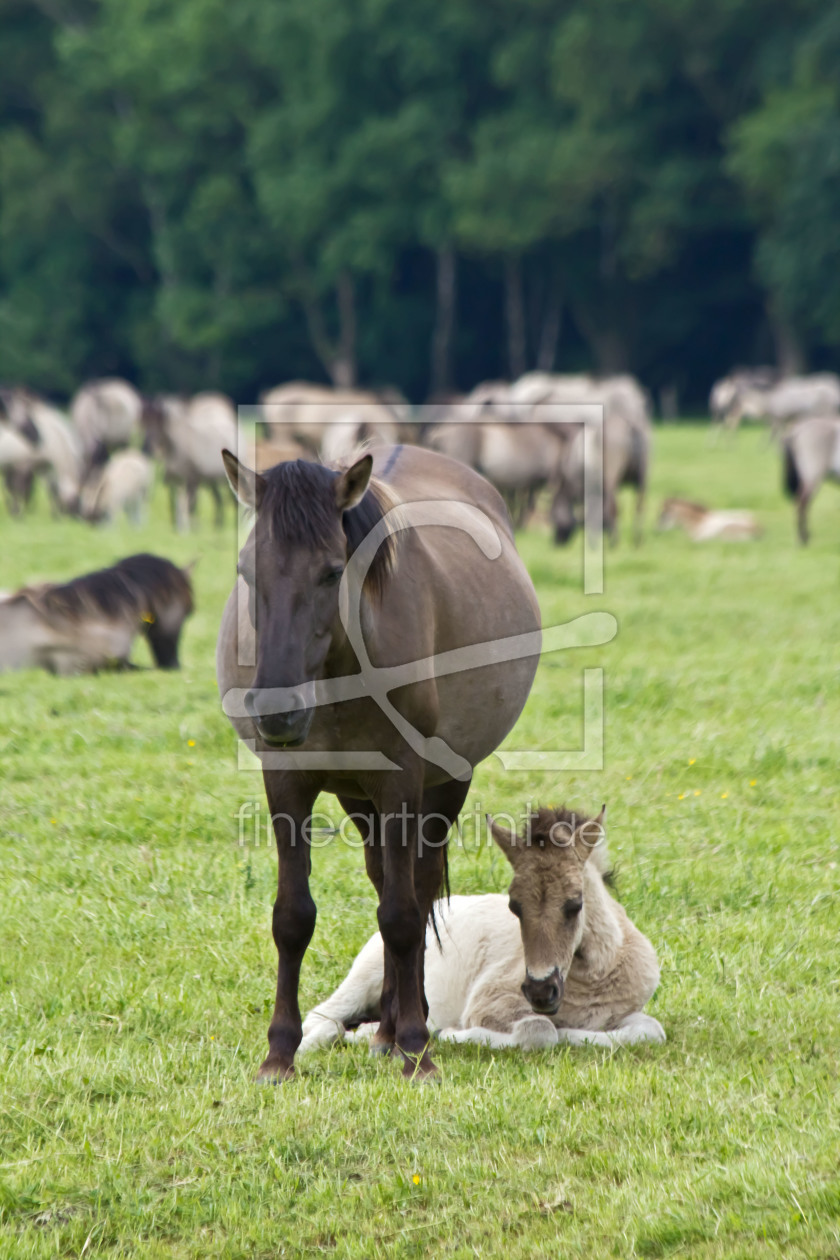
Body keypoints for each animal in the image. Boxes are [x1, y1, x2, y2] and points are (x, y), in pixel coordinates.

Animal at [216, 448, 541, 1078]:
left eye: (331, 571)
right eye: (247, 570)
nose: (276, 712)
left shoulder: (403, 781)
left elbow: (403, 914)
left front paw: (416, 1047)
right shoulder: (287, 784)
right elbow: (292, 917)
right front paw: (279, 1053)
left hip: (443, 783)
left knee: (416, 886)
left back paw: (399, 1029)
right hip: (357, 795)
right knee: (383, 877)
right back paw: (385, 1028)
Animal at [298, 806, 664, 1053]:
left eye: (575, 904)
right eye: (515, 907)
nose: (540, 991)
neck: (594, 978)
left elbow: (650, 1030)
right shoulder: (488, 1004)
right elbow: (539, 1030)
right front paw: (452, 1035)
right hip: (363, 978)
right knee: (321, 1018)